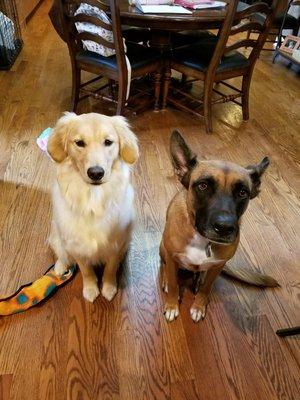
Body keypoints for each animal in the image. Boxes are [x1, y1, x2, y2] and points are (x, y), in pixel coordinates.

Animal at [47, 111, 139, 302]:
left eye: (108, 142)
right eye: (79, 143)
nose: (96, 173)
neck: (93, 199)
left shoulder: (116, 245)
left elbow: (110, 269)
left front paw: (109, 288)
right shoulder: (77, 247)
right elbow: (86, 271)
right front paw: (90, 289)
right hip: (57, 235)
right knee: (63, 255)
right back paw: (59, 267)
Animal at [161, 131, 278, 322]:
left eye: (242, 192)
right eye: (203, 186)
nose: (224, 227)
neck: (202, 240)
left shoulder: (217, 267)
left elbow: (206, 288)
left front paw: (199, 306)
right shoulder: (172, 258)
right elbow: (172, 284)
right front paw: (172, 305)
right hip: (163, 249)